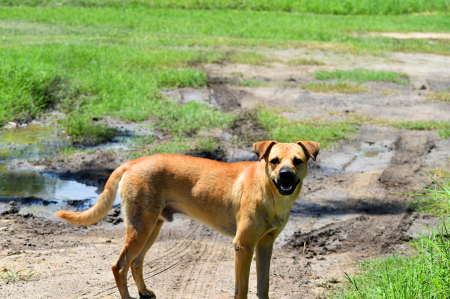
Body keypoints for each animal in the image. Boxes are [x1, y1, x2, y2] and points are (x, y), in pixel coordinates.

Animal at [54, 141, 318, 299]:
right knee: (119, 266)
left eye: (297, 161)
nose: (286, 175)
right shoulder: (243, 246)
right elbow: (242, 288)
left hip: (152, 228)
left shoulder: (265, 246)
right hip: (141, 229)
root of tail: (133, 162)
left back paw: (143, 291)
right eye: (274, 161)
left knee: (135, 262)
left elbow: (263, 285)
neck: (271, 195)